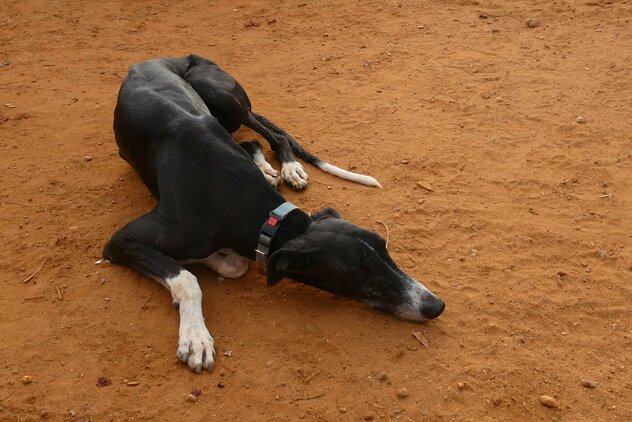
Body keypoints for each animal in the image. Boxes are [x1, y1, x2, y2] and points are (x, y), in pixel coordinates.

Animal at [103, 53, 444, 372]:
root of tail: (167, 58)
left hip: (224, 100)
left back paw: (285, 168)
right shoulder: (121, 240)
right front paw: (196, 337)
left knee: (264, 134)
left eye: (384, 248)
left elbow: (232, 265)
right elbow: (190, 277)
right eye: (358, 271)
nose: (436, 305)